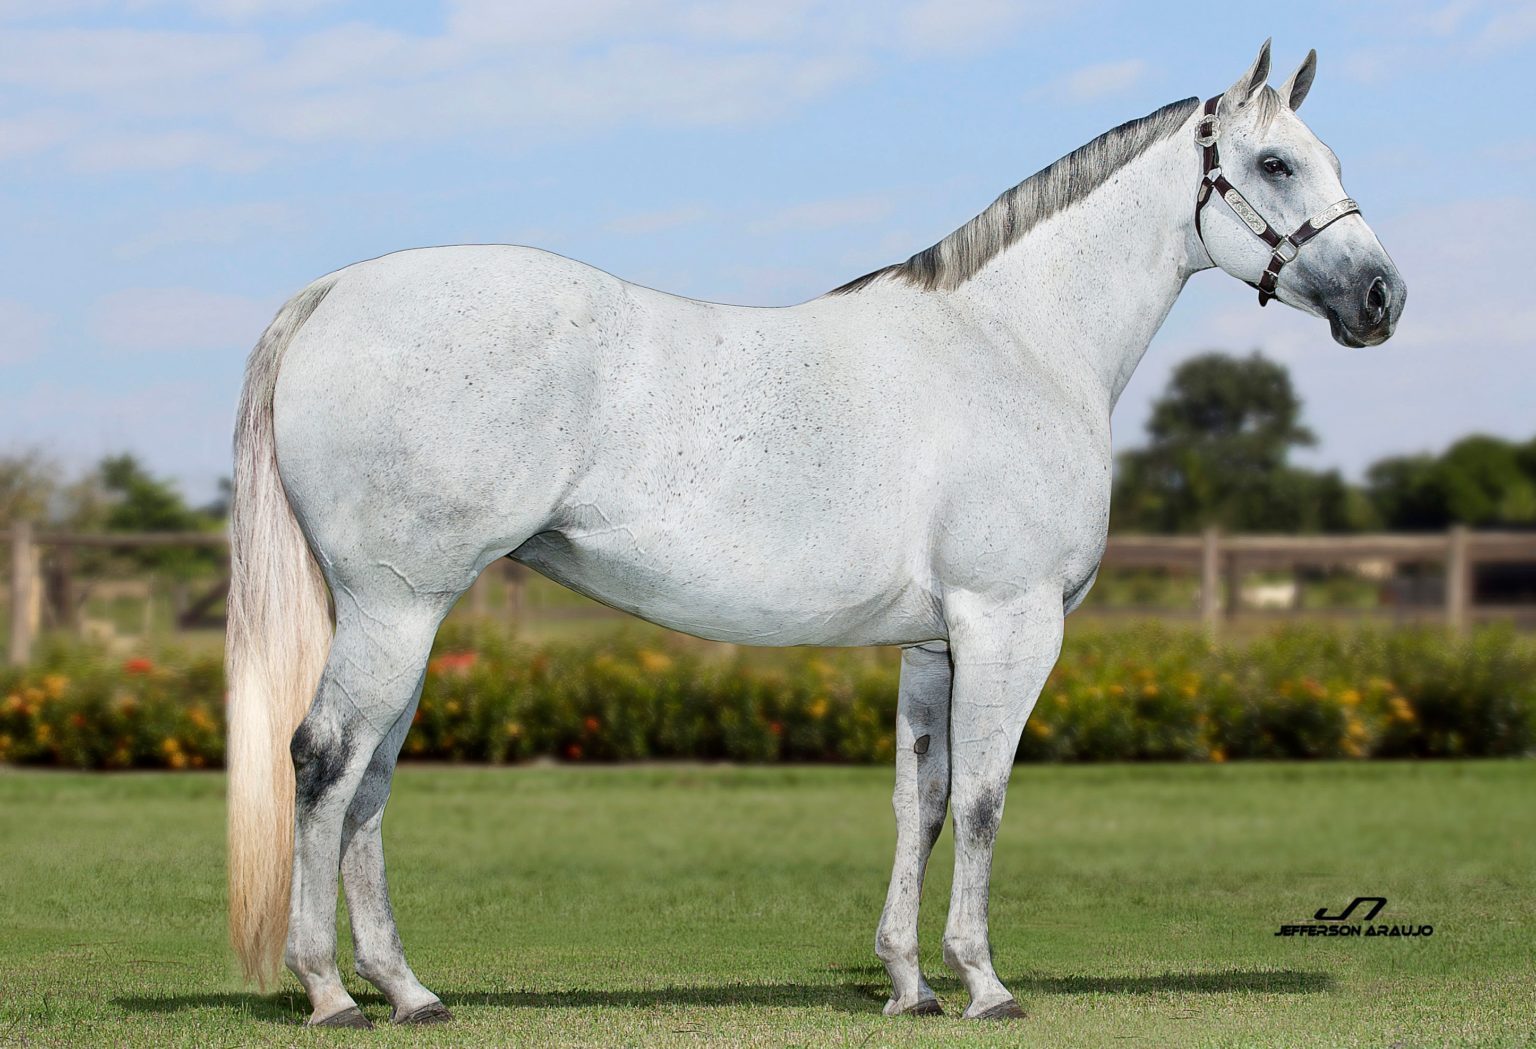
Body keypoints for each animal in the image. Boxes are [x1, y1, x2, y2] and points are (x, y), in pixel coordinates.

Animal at [225, 41, 1404, 1027]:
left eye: (1327, 156)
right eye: (1274, 163)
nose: (1383, 297)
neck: (1015, 342)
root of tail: (334, 292)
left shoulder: (934, 642)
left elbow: (920, 801)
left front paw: (909, 983)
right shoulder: (1008, 623)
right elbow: (985, 799)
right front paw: (984, 983)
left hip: (408, 616)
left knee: (370, 780)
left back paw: (408, 990)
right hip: (396, 608)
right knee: (325, 760)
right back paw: (330, 992)